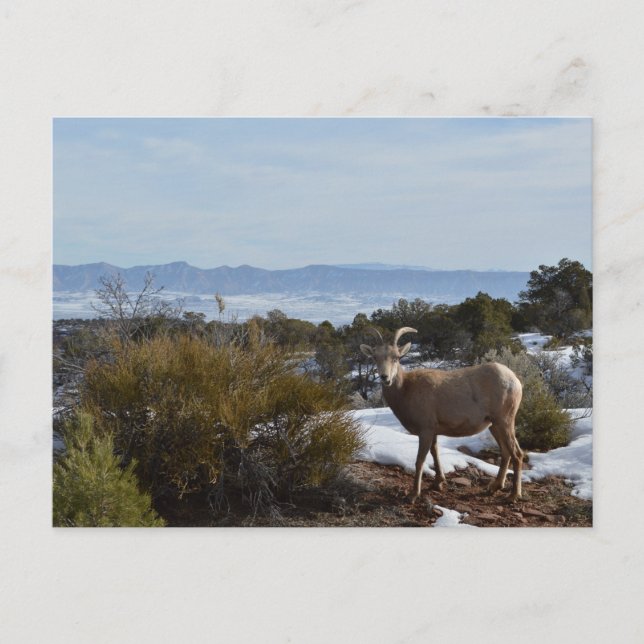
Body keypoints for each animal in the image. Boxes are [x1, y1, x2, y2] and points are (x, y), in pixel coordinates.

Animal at [360, 327, 524, 504]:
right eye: (375, 357)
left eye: (396, 357)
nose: (385, 378)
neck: (406, 390)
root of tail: (515, 380)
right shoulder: (434, 432)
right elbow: (435, 453)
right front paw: (438, 483)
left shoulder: (425, 430)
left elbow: (420, 460)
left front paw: (413, 495)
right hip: (494, 425)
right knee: (506, 452)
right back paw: (494, 487)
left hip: (505, 421)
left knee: (517, 454)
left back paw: (513, 495)